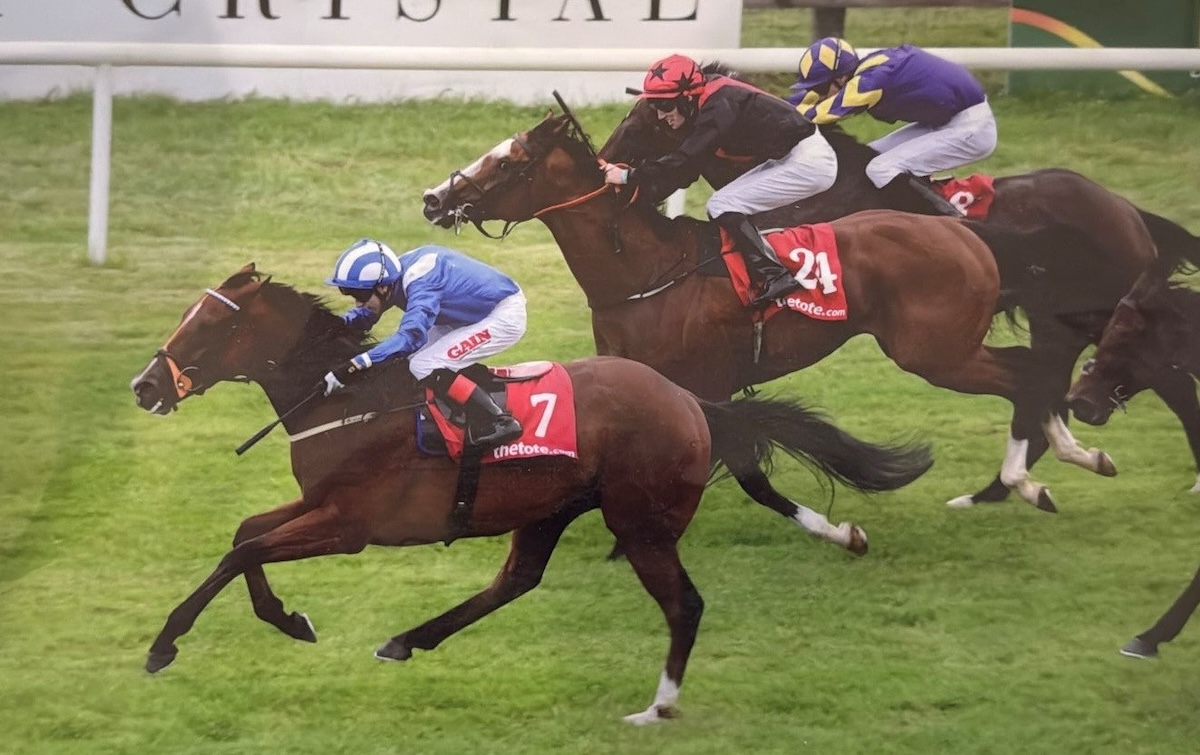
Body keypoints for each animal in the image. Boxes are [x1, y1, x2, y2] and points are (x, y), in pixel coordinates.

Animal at [131, 261, 936, 720]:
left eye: (205, 327)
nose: (144, 387)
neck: (345, 402)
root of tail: (687, 398)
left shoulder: (350, 523)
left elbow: (243, 552)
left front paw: (166, 644)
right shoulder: (319, 503)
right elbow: (244, 535)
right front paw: (285, 618)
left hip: (639, 523)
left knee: (684, 604)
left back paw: (659, 706)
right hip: (550, 507)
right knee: (517, 579)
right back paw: (406, 639)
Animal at [420, 111, 1113, 511]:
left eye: (509, 161)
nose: (433, 199)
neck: (645, 272)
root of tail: (965, 231)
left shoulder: (704, 384)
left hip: (935, 353)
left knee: (1025, 374)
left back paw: (1032, 478)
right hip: (949, 348)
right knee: (1035, 370)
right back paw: (1070, 459)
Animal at [604, 91, 1200, 501]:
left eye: (636, 125)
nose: (607, 160)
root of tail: (1127, 209)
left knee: (1145, 375)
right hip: (1063, 322)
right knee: (1053, 379)